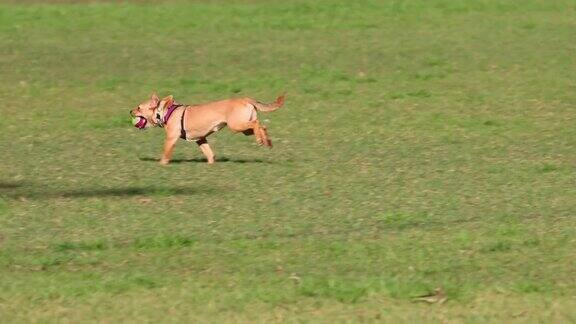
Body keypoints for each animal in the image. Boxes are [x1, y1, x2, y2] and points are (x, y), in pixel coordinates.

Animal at [129, 93, 284, 165]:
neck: (166, 111)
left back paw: (260, 140)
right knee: (262, 126)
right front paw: (211, 163)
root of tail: (246, 99)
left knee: (257, 124)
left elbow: (166, 152)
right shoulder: (201, 139)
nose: (130, 111)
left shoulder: (171, 138)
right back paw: (267, 141)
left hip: (236, 125)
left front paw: (161, 164)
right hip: (244, 128)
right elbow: (209, 152)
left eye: (139, 107)